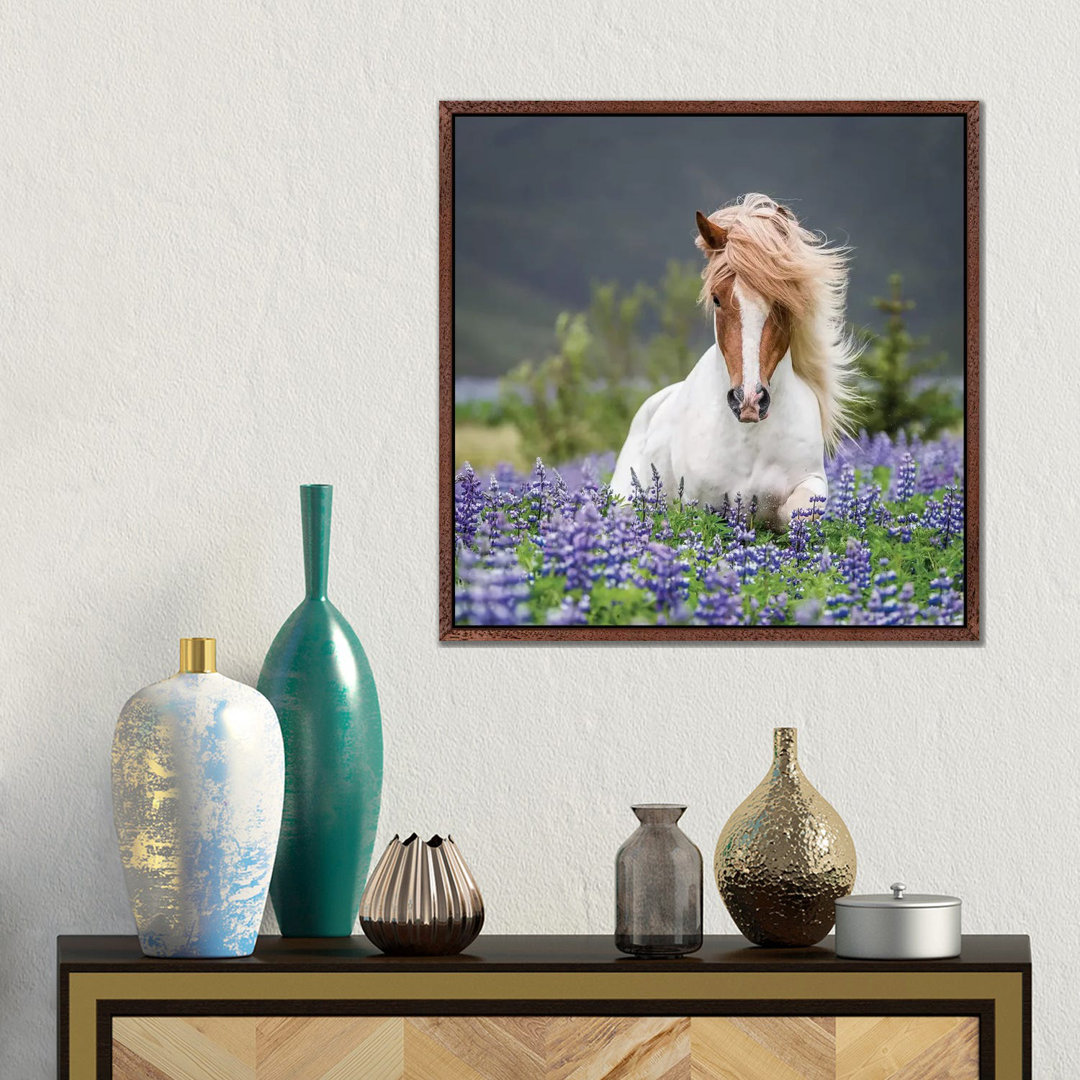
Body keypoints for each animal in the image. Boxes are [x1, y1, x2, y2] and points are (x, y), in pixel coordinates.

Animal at [617, 196, 859, 533]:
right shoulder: (700, 502)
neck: (750, 437)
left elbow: (799, 513)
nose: (749, 400)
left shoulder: (810, 481)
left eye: (783, 302)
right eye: (717, 298)